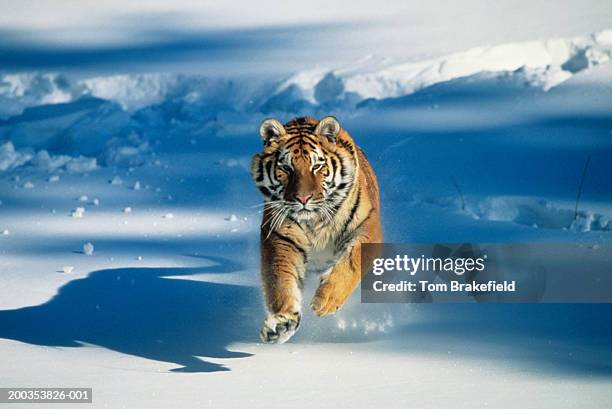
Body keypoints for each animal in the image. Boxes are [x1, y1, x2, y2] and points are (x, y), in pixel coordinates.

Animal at [250, 116, 382, 342]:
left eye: (317, 166)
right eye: (286, 168)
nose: (303, 198)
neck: (314, 221)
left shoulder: (368, 227)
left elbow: (351, 262)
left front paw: (326, 300)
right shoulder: (281, 237)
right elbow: (281, 279)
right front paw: (282, 323)